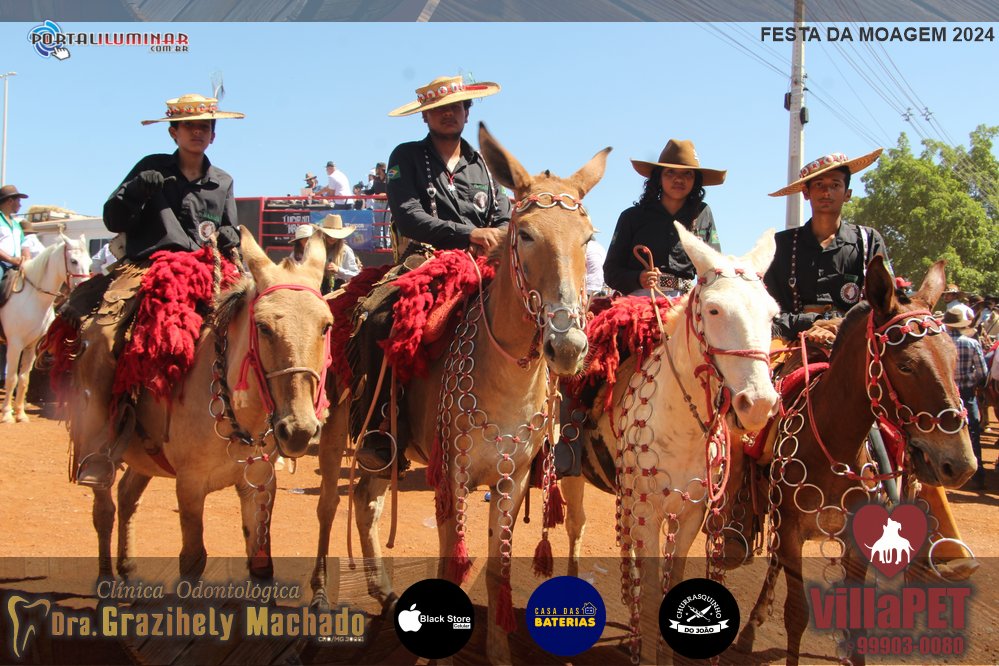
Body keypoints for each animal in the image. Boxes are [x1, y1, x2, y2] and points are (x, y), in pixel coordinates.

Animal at [1, 235, 91, 423]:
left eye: (90, 261)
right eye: (73, 261)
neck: (32, 298)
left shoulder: (31, 346)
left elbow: (23, 379)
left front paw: (20, 413)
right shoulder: (15, 345)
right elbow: (11, 378)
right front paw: (6, 414)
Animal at [68, 228, 333, 580]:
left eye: (326, 326)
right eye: (263, 327)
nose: (299, 430)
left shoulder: (259, 483)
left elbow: (261, 567)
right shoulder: (190, 486)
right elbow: (193, 560)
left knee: (126, 496)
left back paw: (128, 567)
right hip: (95, 444)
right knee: (104, 509)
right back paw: (106, 578)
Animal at [310, 123, 609, 664]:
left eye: (588, 238)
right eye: (525, 234)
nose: (568, 346)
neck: (505, 382)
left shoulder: (511, 481)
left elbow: (496, 569)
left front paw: (499, 653)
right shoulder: (451, 477)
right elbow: (452, 564)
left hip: (382, 449)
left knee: (365, 501)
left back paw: (383, 590)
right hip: (334, 431)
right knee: (327, 507)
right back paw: (321, 595)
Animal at [558, 226, 780, 663]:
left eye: (771, 314)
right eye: (714, 310)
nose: (759, 404)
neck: (681, 427)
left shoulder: (691, 514)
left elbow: (670, 579)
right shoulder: (650, 512)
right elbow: (647, 592)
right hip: (572, 476)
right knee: (576, 526)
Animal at [735, 258, 977, 666]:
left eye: (953, 356)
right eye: (905, 365)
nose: (961, 463)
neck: (834, 447)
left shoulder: (857, 539)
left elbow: (857, 619)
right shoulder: (791, 532)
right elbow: (796, 614)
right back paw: (752, 624)